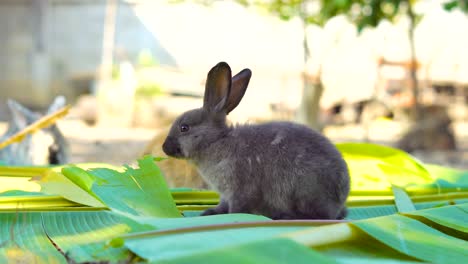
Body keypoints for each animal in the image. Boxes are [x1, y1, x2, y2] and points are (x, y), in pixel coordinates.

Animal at [163, 62, 350, 219]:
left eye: (184, 128)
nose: (165, 148)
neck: (216, 141)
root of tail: (340, 198)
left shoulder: (240, 189)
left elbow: (237, 208)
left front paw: (230, 215)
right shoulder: (225, 194)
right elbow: (222, 205)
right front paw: (209, 212)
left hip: (304, 190)